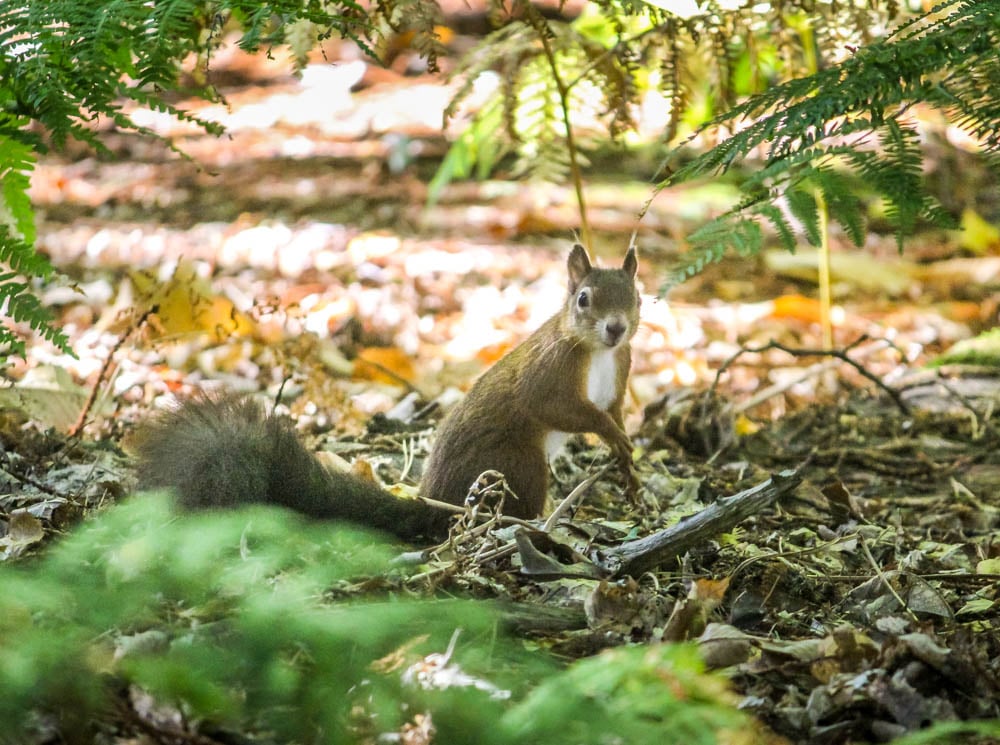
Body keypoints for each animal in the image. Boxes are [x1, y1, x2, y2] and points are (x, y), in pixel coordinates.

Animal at [135, 244, 640, 540]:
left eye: (636, 297)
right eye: (583, 299)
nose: (616, 328)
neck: (597, 352)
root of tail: (437, 502)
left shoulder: (620, 372)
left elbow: (614, 409)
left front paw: (627, 458)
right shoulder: (549, 372)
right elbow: (556, 407)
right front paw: (610, 434)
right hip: (518, 464)